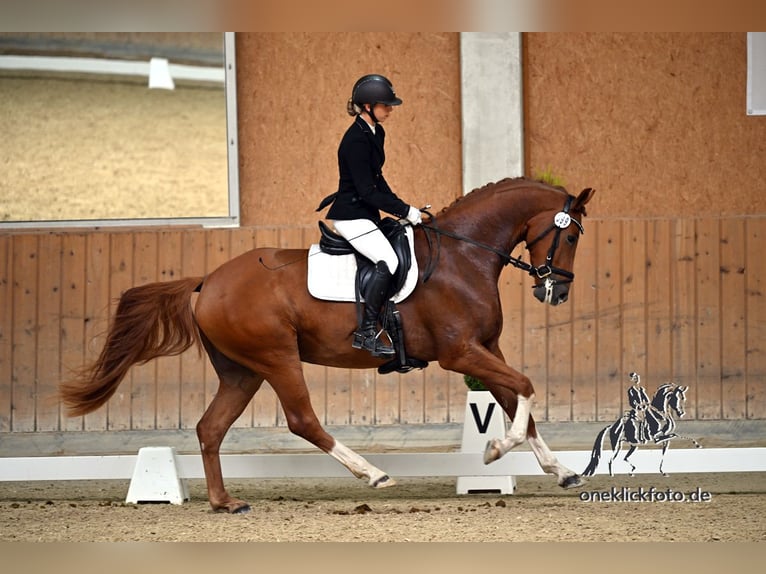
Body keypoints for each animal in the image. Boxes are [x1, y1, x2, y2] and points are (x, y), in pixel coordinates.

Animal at [63, 178, 596, 516]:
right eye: (569, 234)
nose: (556, 292)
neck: (463, 255)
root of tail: (207, 281)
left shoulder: (488, 348)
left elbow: (517, 399)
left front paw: (562, 471)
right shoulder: (461, 352)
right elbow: (525, 389)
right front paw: (494, 450)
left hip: (242, 371)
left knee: (210, 428)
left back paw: (225, 503)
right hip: (277, 358)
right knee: (302, 420)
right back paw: (374, 475)